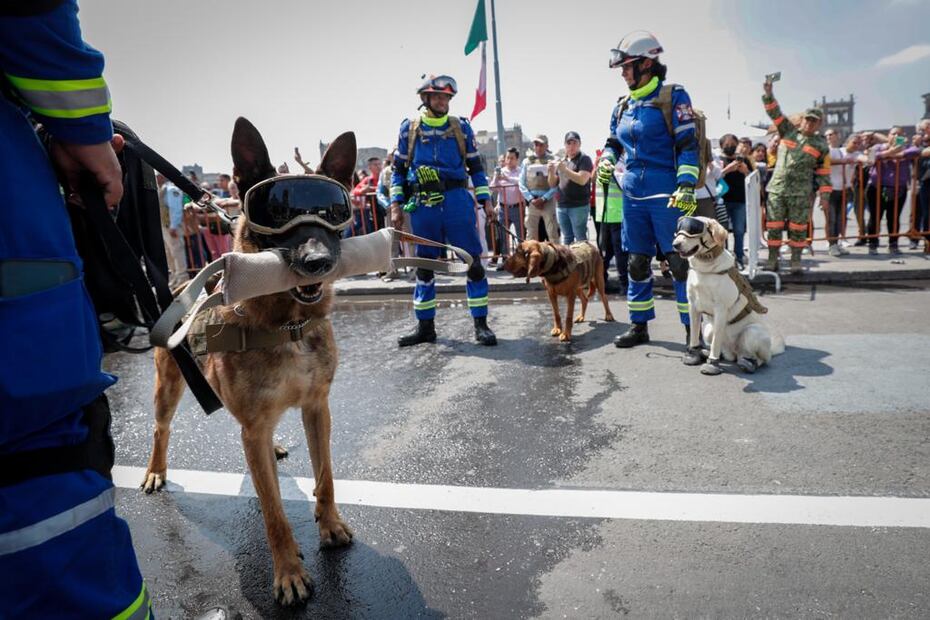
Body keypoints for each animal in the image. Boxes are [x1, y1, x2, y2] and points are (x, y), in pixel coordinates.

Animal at [141, 118, 355, 605]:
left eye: (333, 212)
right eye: (276, 212)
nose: (318, 262)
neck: (288, 325)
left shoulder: (318, 408)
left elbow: (326, 476)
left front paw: (330, 524)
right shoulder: (256, 425)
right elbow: (274, 514)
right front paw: (289, 572)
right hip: (169, 388)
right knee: (162, 429)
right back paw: (155, 471)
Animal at [672, 216, 785, 375]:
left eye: (694, 229)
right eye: (679, 228)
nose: (675, 244)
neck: (706, 268)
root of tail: (734, 353)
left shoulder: (721, 309)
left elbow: (715, 343)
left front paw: (712, 364)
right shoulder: (692, 306)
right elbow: (694, 335)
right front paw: (693, 354)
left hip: (751, 333)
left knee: (758, 358)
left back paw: (748, 363)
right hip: (708, 329)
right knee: (725, 352)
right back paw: (709, 353)